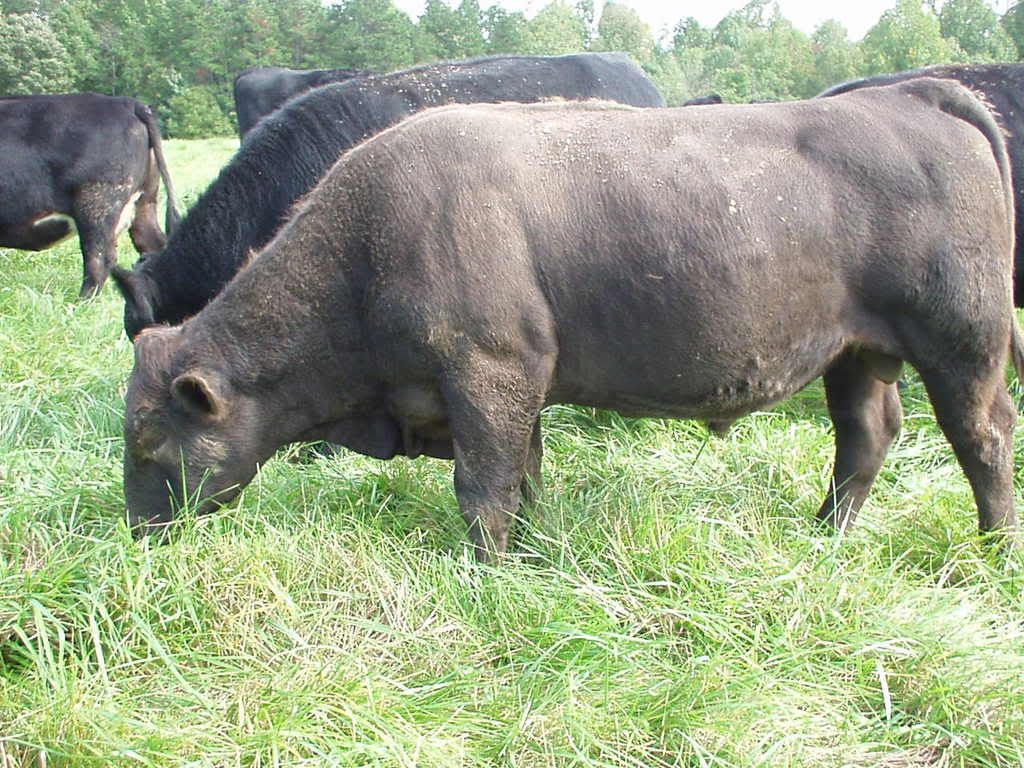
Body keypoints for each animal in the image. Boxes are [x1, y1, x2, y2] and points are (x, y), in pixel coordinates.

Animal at [0, 93, 180, 298]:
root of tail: (128, 103)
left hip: (96, 205)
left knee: (99, 258)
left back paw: (82, 299)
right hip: (144, 202)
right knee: (152, 244)